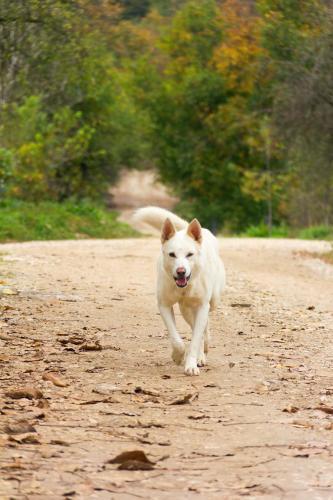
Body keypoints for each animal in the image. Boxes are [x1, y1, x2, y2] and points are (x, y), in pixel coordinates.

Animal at [134, 207, 224, 376]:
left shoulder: (202, 306)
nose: (181, 271)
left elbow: (195, 340)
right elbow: (177, 340)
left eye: (189, 254)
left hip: (212, 301)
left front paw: (191, 366)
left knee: (204, 327)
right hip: (185, 310)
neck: (184, 287)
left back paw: (202, 353)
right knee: (196, 327)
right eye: (172, 254)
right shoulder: (164, 305)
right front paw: (178, 356)